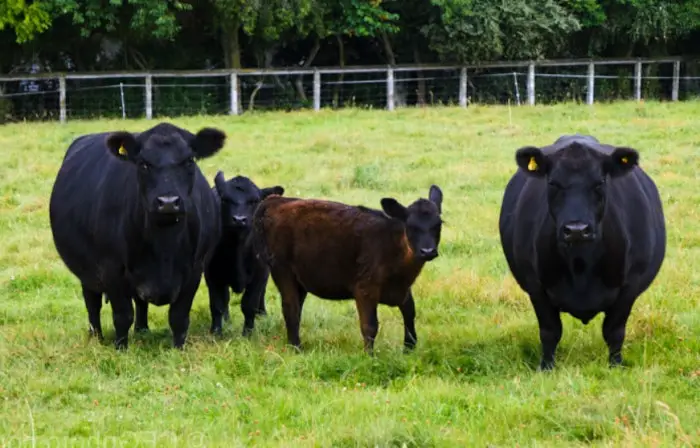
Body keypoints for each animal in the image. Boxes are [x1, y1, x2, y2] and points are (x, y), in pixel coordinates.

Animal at [49, 121, 224, 350]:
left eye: (189, 160)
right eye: (143, 163)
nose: (168, 202)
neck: (164, 246)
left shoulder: (195, 269)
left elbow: (179, 316)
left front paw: (178, 349)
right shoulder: (111, 268)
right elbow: (122, 316)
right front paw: (121, 348)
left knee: (140, 303)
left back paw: (142, 330)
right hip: (86, 271)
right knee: (92, 303)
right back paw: (97, 338)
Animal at [204, 172, 284, 336]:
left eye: (254, 200)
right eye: (225, 199)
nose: (239, 219)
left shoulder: (260, 273)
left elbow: (249, 304)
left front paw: (248, 333)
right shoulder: (212, 274)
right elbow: (217, 304)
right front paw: (216, 332)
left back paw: (262, 314)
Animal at [252, 186, 442, 354]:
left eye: (438, 224)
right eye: (411, 226)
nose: (427, 251)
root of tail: (276, 200)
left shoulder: (403, 290)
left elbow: (410, 314)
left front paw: (409, 349)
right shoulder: (365, 288)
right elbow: (370, 325)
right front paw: (370, 357)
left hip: (300, 279)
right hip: (282, 270)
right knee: (290, 308)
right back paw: (296, 348)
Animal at [498, 135, 668, 370]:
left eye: (600, 182)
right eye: (553, 183)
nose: (576, 229)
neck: (581, 265)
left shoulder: (629, 287)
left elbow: (614, 331)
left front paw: (615, 366)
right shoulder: (536, 287)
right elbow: (550, 331)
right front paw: (546, 367)